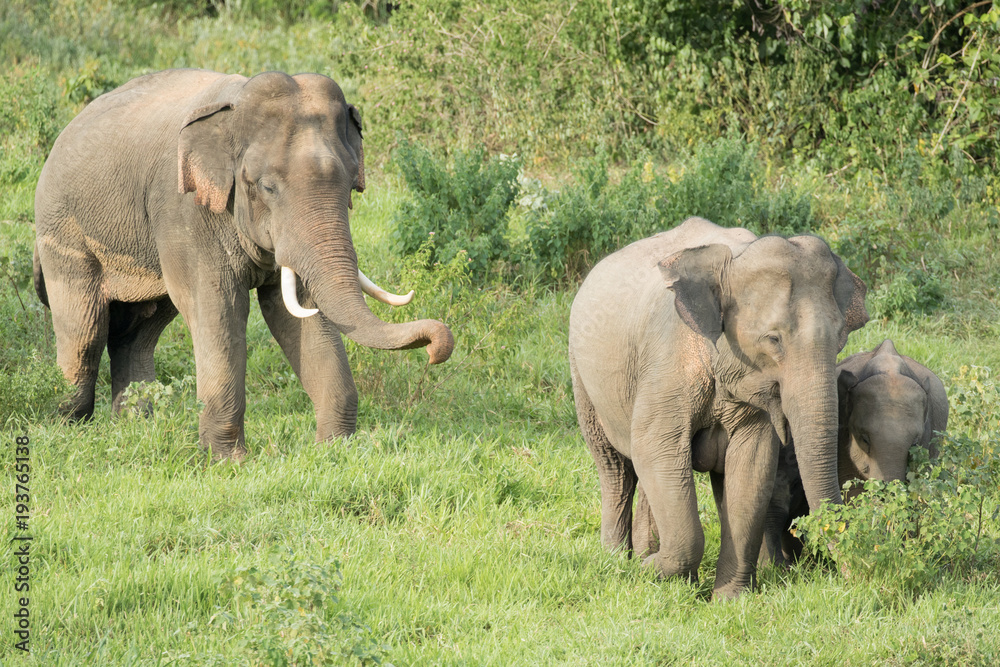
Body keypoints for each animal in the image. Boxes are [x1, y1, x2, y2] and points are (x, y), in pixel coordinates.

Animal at [33, 69, 454, 460]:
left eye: (352, 185)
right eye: (267, 187)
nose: (437, 347)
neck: (233, 109)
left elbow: (300, 313)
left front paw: (336, 451)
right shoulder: (185, 210)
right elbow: (220, 309)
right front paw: (227, 462)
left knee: (137, 332)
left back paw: (137, 427)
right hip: (63, 232)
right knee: (85, 332)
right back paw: (70, 428)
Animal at [568, 217, 868, 598]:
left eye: (840, 338)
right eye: (773, 339)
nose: (848, 576)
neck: (732, 260)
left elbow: (751, 467)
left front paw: (728, 599)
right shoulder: (665, 364)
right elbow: (658, 448)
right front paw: (654, 572)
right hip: (581, 376)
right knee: (615, 467)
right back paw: (618, 561)